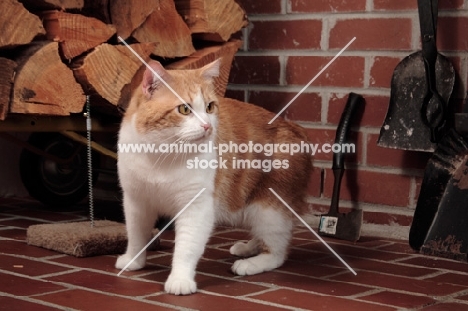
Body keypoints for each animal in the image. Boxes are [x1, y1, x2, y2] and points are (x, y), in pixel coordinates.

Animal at [115, 59, 312, 296]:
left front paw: (180, 279)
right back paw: (248, 247)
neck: (161, 154)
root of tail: (296, 128)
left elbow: (186, 246)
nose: (207, 126)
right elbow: (136, 235)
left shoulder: (196, 208)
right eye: (184, 109)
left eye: (209, 107)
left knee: (278, 251)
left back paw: (252, 262)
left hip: (268, 209)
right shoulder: (136, 201)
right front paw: (133, 260)